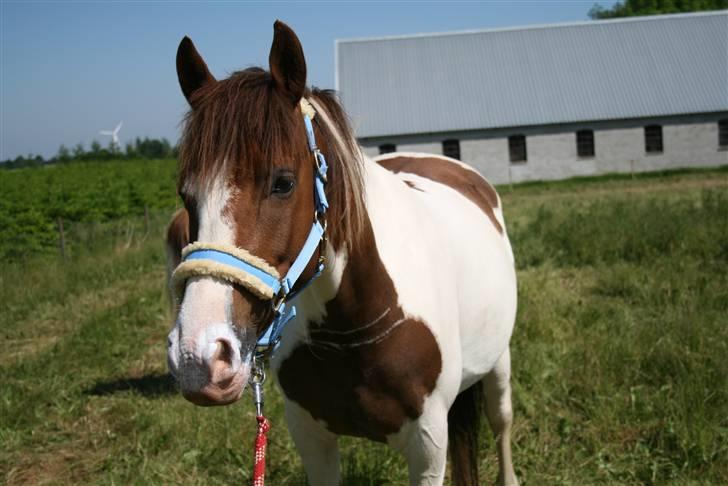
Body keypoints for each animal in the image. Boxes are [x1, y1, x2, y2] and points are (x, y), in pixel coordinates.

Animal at [166, 20, 516, 484]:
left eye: (282, 182)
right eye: (186, 194)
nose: (198, 357)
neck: (356, 324)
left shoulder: (429, 445)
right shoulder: (311, 437)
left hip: (499, 362)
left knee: (501, 424)